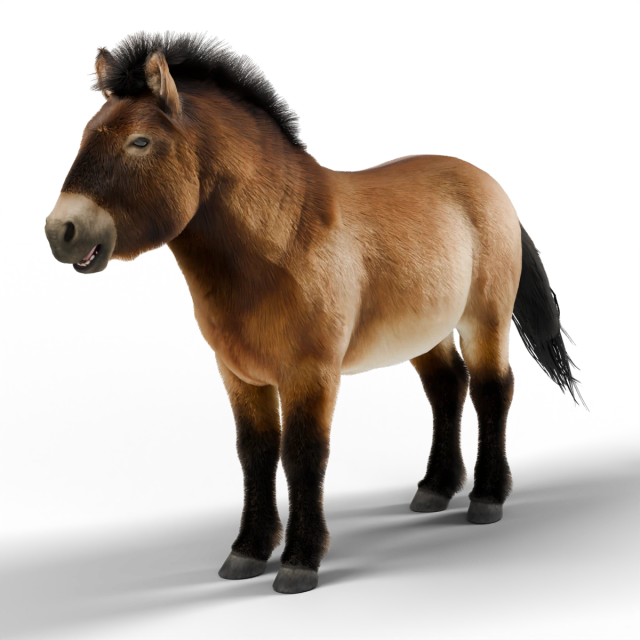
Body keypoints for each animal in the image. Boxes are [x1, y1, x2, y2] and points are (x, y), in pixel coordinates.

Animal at [43, 30, 587, 594]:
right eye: (87, 132)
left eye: (140, 142)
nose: (61, 231)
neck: (282, 241)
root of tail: (491, 184)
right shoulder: (239, 374)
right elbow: (255, 451)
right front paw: (248, 551)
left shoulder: (312, 372)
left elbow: (303, 454)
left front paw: (300, 561)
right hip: (425, 332)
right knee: (446, 388)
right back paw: (436, 487)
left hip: (486, 321)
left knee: (492, 389)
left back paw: (486, 497)